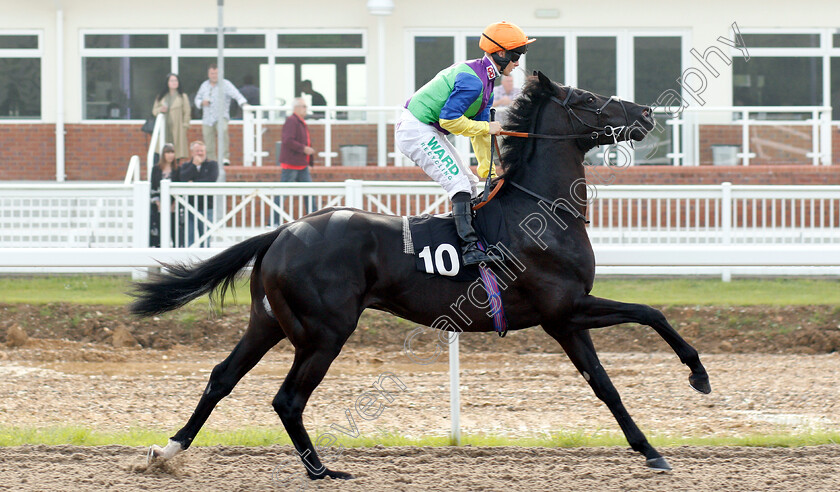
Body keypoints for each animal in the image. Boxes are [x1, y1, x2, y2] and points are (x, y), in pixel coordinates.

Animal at [133, 73, 708, 480]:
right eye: (588, 97)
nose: (646, 112)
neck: (538, 210)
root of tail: (283, 231)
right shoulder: (563, 309)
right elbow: (651, 314)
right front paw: (698, 376)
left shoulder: (566, 321)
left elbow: (606, 385)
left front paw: (651, 450)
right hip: (324, 333)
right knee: (287, 400)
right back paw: (322, 471)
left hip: (268, 322)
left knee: (221, 377)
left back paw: (167, 451)